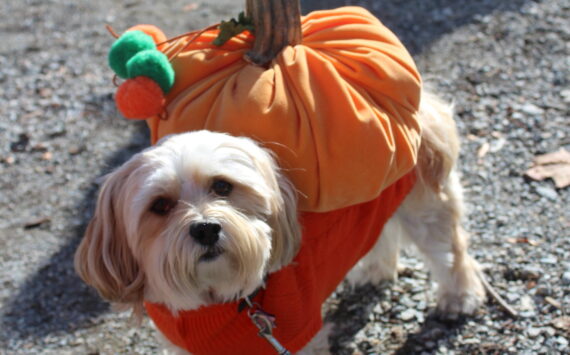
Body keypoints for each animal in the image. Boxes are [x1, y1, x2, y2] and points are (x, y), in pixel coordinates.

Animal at [74, 92, 484, 354]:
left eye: (222, 186)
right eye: (160, 205)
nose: (206, 228)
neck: (220, 302)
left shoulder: (297, 337)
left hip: (425, 208)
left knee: (451, 252)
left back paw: (459, 299)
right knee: (381, 234)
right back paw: (375, 272)